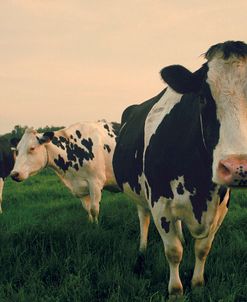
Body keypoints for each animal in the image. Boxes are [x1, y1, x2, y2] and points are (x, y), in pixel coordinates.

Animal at [113, 40, 247, 300]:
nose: (238, 167)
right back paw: (141, 253)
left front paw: (197, 284)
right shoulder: (160, 203)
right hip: (140, 194)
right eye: (203, 98)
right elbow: (173, 251)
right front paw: (176, 291)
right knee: (143, 218)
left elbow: (203, 248)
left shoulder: (221, 206)